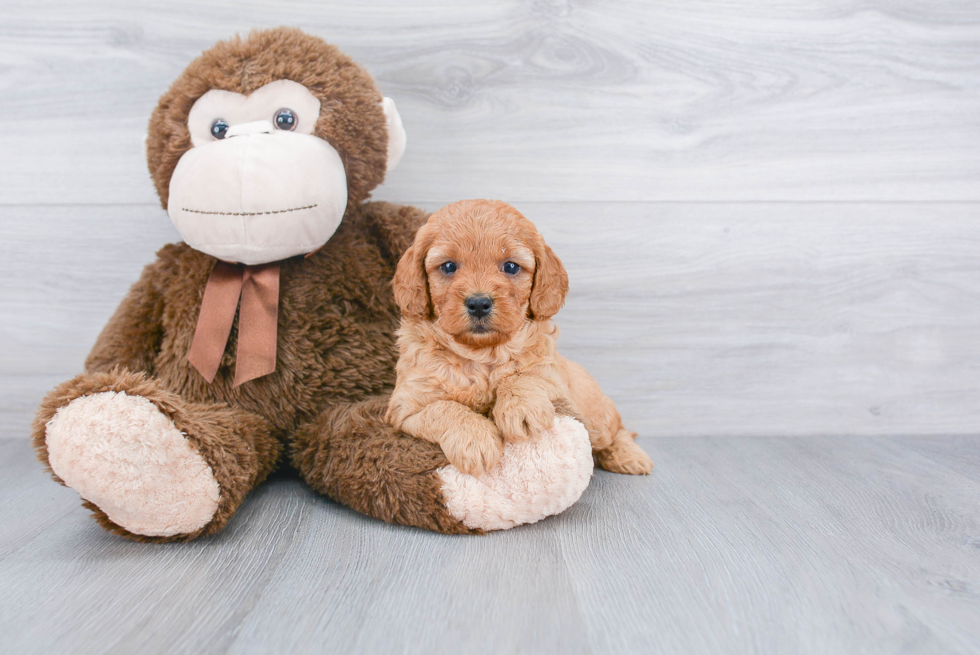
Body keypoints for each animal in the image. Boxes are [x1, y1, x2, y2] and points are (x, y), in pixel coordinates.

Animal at [386, 197, 656, 480]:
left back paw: (629, 456)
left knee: (617, 430)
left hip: (594, 415)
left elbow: (523, 376)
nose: (479, 303)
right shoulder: (406, 406)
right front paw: (475, 440)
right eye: (448, 266)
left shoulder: (554, 381)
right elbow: (444, 409)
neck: (481, 354)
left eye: (511, 266)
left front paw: (520, 408)